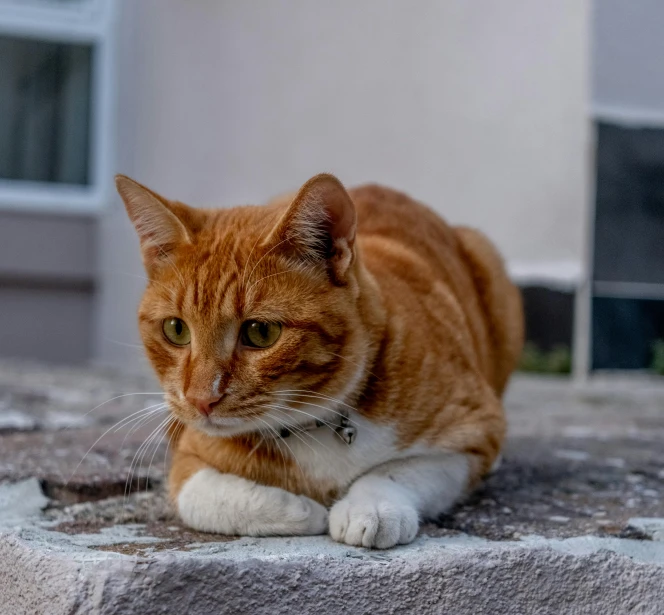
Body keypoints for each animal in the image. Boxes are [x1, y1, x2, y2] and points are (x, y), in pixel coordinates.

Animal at [118, 172, 524, 548]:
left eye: (260, 332)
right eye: (176, 329)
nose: (201, 400)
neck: (314, 424)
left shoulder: (473, 431)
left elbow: (399, 471)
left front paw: (372, 507)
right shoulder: (188, 458)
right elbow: (201, 495)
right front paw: (302, 510)